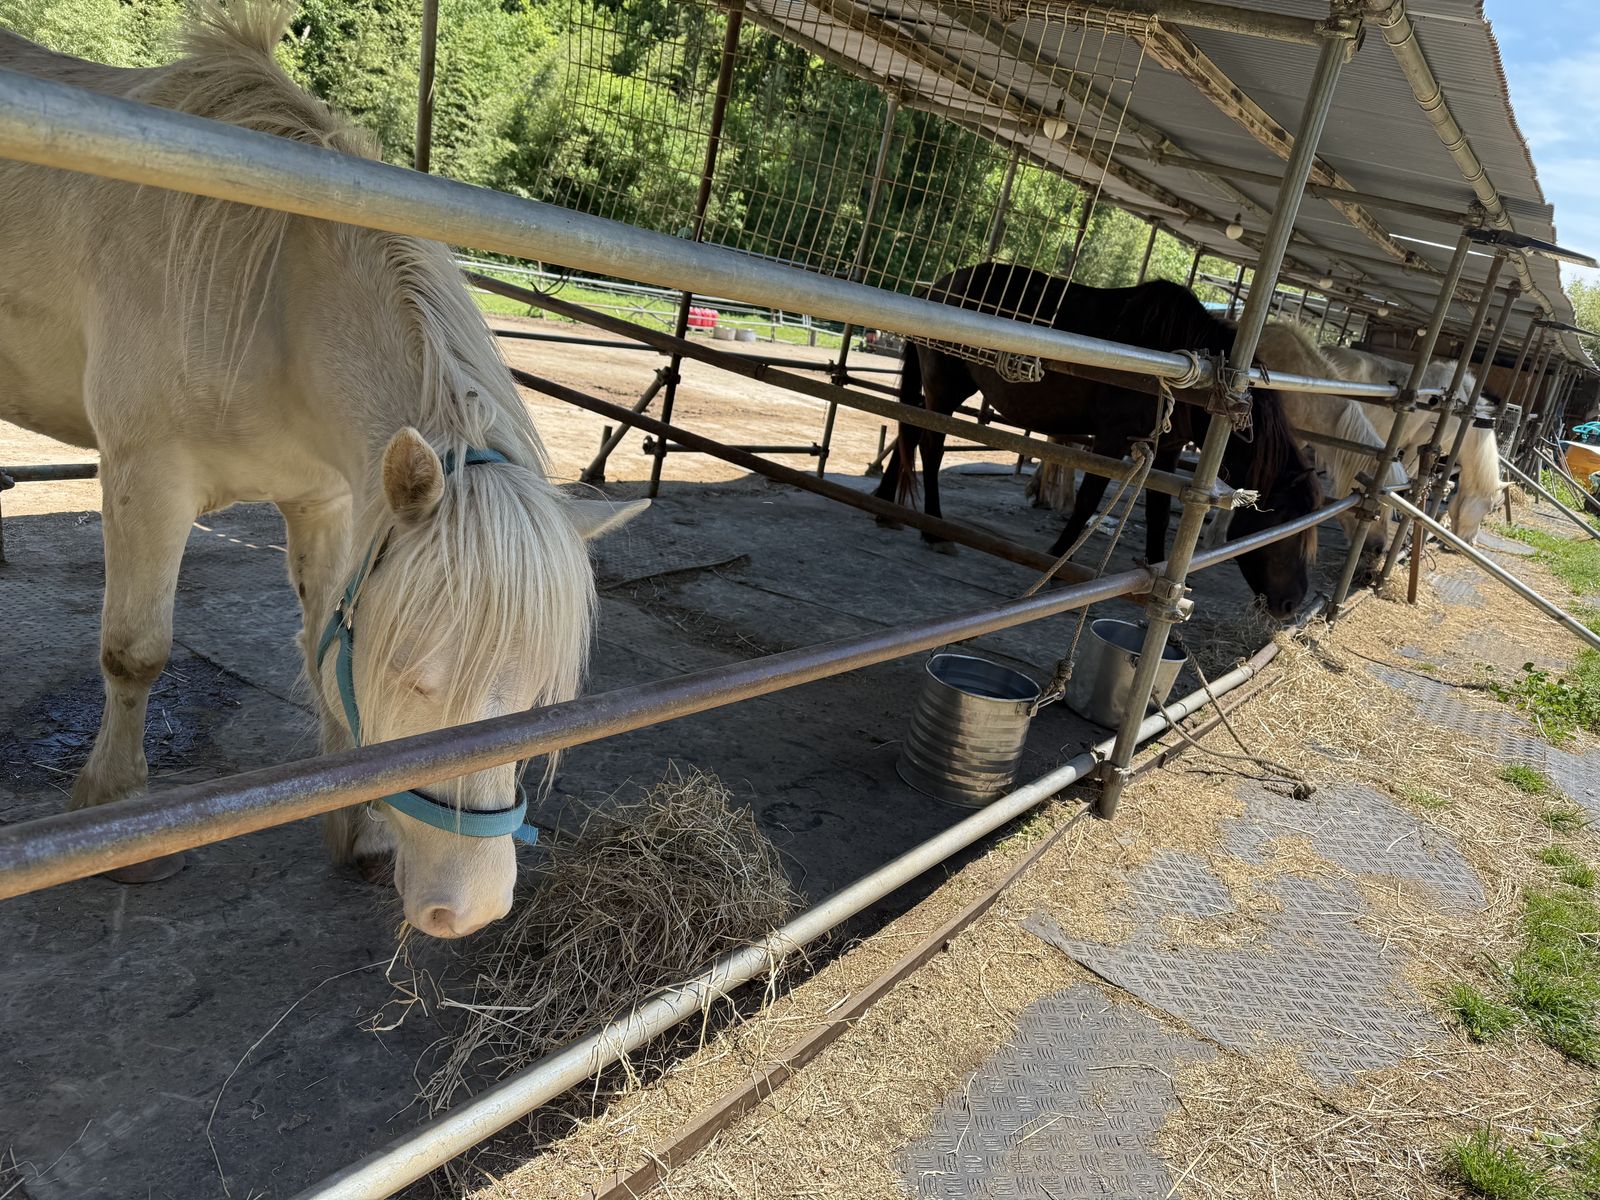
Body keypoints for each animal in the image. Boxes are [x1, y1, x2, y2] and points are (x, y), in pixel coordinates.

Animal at [0, 4, 647, 938]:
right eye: (414, 674)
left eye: (540, 700)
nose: (470, 912)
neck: (265, 299)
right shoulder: (145, 479)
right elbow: (136, 654)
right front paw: (119, 823)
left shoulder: (328, 500)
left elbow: (316, 648)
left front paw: (364, 833)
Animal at [873, 264, 1323, 619]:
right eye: (1283, 524)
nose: (1291, 605)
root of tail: (938, 286)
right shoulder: (1112, 438)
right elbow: (1089, 498)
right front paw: (1058, 560)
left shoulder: (1168, 451)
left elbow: (1159, 511)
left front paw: (1158, 574)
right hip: (945, 389)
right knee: (929, 447)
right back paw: (935, 532)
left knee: (908, 429)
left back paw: (886, 508)